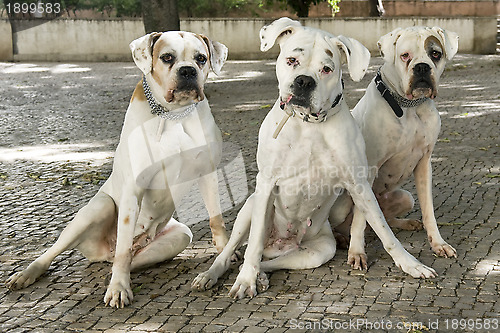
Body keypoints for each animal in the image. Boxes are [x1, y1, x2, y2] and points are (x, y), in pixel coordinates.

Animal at [6, 31, 229, 306]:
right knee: (72, 251)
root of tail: (104, 252)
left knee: (126, 258)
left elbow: (216, 219)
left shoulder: (208, 173)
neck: (173, 115)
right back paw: (29, 273)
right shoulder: (133, 188)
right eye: (167, 57)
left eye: (201, 58)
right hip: (98, 208)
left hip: (179, 236)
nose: (187, 70)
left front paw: (225, 255)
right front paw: (119, 288)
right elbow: (123, 248)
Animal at [193, 17, 436, 298]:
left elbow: (384, 230)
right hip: (250, 209)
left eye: (326, 69)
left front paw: (411, 264)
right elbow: (252, 244)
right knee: (235, 251)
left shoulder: (360, 186)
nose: (303, 82)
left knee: (269, 262)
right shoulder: (266, 184)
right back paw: (213, 274)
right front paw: (244, 281)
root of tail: (279, 244)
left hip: (318, 252)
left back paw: (262, 275)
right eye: (291, 60)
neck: (308, 124)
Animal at [336, 26, 460, 270]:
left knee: (384, 220)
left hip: (404, 197)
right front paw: (357, 252)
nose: (422, 67)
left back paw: (406, 223)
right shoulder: (368, 169)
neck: (408, 106)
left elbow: (428, 210)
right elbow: (359, 219)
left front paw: (438, 243)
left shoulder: (424, 165)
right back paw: (342, 239)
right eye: (405, 56)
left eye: (435, 54)